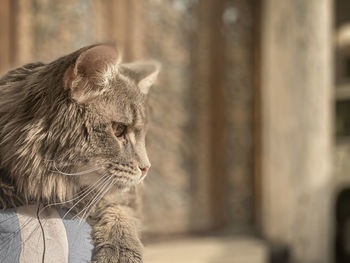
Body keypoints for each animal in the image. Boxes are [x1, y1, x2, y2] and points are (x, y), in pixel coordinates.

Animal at [0, 44, 160, 262]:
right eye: (118, 129)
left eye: (142, 134)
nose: (146, 168)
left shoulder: (116, 196)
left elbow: (119, 211)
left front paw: (121, 249)